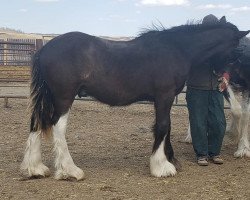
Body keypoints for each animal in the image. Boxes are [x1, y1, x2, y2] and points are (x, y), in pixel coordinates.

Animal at [21, 16, 248, 180]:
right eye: (237, 49)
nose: (226, 79)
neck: (178, 49)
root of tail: (44, 49)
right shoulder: (164, 96)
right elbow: (163, 126)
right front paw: (161, 167)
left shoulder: (164, 99)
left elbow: (167, 126)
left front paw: (171, 159)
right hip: (63, 98)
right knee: (58, 128)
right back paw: (70, 171)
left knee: (36, 124)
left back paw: (35, 168)